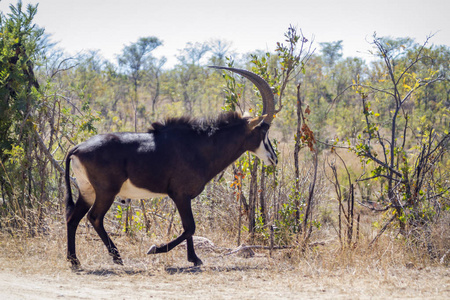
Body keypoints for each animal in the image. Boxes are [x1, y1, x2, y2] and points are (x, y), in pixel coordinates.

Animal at [65, 66, 278, 268]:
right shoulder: (180, 194)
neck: (199, 145)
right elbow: (190, 227)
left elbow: (188, 227)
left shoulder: (183, 197)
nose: (274, 158)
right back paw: (116, 258)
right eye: (263, 132)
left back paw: (75, 261)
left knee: (73, 218)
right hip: (106, 192)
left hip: (87, 191)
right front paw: (156, 249)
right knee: (94, 217)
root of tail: (77, 148)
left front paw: (194, 258)